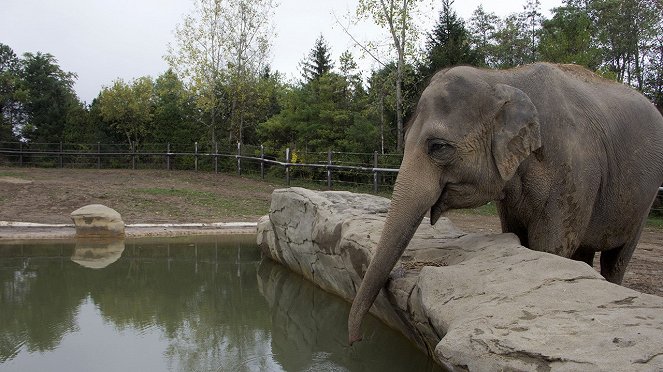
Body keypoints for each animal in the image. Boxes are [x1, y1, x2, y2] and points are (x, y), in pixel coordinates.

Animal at [348, 62, 663, 344]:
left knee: (616, 259)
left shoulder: (574, 174)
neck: (502, 77)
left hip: (644, 201)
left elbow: (552, 248)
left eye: (438, 147)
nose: (356, 340)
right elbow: (516, 235)